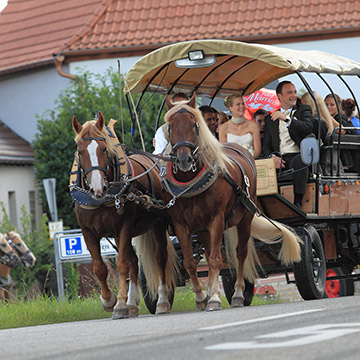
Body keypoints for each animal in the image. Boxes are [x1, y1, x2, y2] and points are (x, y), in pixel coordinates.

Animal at [71, 114, 176, 320]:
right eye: (80, 151)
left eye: (104, 148)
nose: (97, 188)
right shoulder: (88, 232)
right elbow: (99, 267)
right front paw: (108, 300)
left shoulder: (123, 227)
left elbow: (121, 264)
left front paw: (119, 304)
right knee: (134, 262)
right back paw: (133, 304)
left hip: (158, 224)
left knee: (160, 258)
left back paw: (162, 301)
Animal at [162, 94, 302, 310]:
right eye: (170, 126)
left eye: (194, 124)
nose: (184, 160)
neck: (191, 183)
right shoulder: (181, 225)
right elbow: (190, 262)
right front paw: (201, 297)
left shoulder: (217, 220)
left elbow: (215, 259)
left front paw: (214, 297)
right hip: (203, 230)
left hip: (245, 217)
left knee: (240, 253)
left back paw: (237, 294)